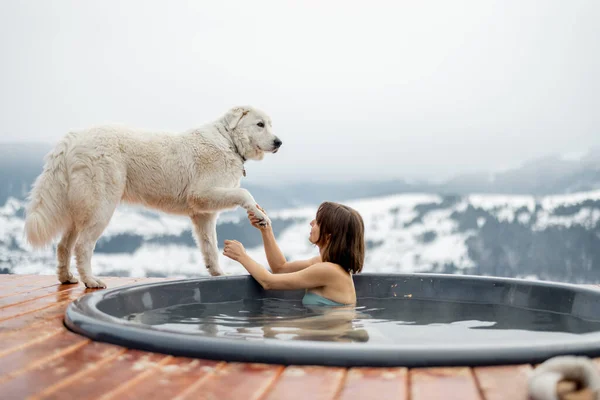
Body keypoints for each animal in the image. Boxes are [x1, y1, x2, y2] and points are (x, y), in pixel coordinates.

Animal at [23, 106, 282, 288]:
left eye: (270, 125)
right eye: (260, 124)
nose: (279, 142)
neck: (228, 142)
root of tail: (72, 137)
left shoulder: (203, 214)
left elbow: (209, 245)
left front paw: (217, 273)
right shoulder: (202, 194)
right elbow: (244, 193)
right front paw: (259, 215)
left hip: (80, 210)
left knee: (63, 246)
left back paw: (67, 277)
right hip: (101, 206)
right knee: (82, 246)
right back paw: (91, 281)